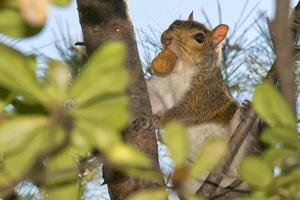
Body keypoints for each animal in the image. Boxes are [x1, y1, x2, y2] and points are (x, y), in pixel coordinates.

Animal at [146, 12, 255, 194]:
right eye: (174, 24)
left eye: (199, 37)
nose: (166, 38)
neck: (181, 68)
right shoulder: (161, 86)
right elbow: (152, 96)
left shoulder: (204, 97)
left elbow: (183, 112)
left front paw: (156, 120)